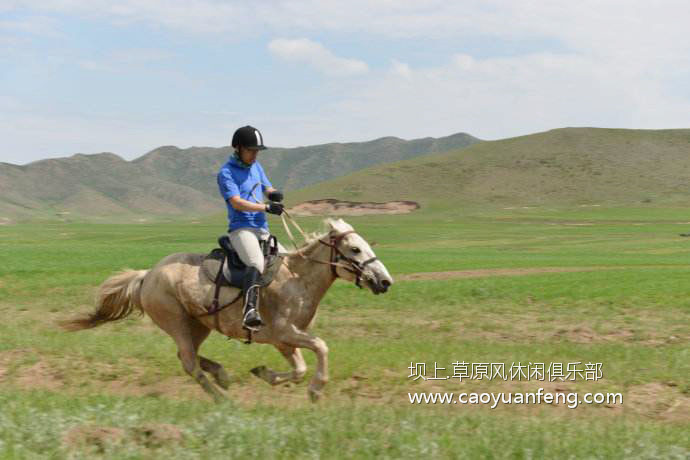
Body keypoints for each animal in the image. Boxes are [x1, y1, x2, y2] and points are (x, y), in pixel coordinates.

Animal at [59, 217, 392, 400]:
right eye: (355, 249)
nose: (385, 281)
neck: (297, 279)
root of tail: (146, 275)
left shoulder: (284, 341)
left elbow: (299, 369)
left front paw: (265, 374)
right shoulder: (286, 333)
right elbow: (321, 348)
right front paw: (316, 391)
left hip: (199, 325)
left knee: (188, 357)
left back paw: (222, 376)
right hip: (177, 322)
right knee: (189, 363)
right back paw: (221, 397)